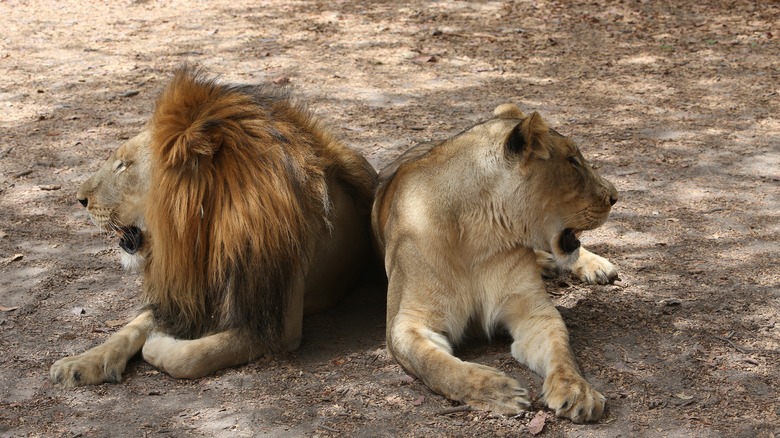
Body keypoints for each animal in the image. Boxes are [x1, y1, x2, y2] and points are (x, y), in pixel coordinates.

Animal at [49, 67, 378, 386]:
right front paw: (82, 362)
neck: (204, 236)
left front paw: (157, 343)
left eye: (124, 165)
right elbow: (131, 327)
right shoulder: (187, 293)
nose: (80, 199)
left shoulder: (276, 325)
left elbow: (192, 356)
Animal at [370, 104, 616, 422]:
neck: (482, 232)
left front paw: (577, 390)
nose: (615, 196)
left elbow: (562, 351)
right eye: (573, 161)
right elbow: (437, 366)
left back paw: (594, 266)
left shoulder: (534, 312)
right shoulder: (407, 324)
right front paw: (499, 392)